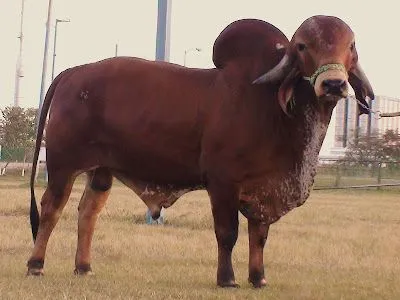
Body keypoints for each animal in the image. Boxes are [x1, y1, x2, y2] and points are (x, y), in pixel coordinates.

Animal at [26, 16, 374, 288]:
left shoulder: (263, 188)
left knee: (88, 211)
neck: (273, 109)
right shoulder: (222, 182)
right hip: (62, 163)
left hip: (102, 171)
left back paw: (84, 267)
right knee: (51, 208)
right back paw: (36, 265)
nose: (333, 84)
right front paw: (227, 279)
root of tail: (73, 72)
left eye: (351, 46)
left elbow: (259, 235)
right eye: (302, 46)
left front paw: (258, 278)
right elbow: (227, 233)